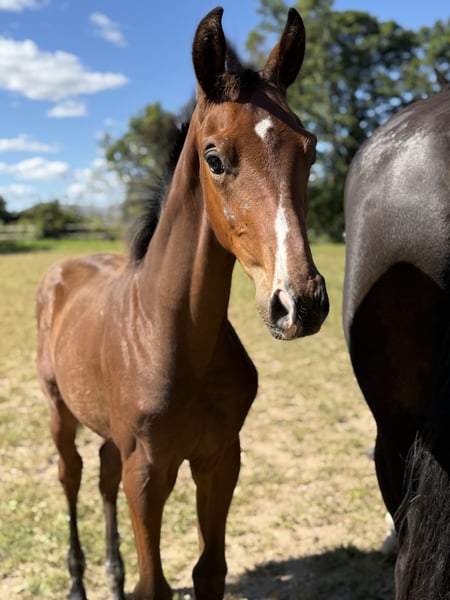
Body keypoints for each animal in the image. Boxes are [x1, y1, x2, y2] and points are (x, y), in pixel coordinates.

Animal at [36, 7, 329, 600]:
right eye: (213, 158)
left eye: (309, 149)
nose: (300, 303)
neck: (170, 335)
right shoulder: (148, 473)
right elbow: (156, 584)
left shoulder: (220, 458)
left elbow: (208, 571)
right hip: (59, 411)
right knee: (70, 477)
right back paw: (78, 580)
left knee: (101, 474)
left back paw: (111, 574)